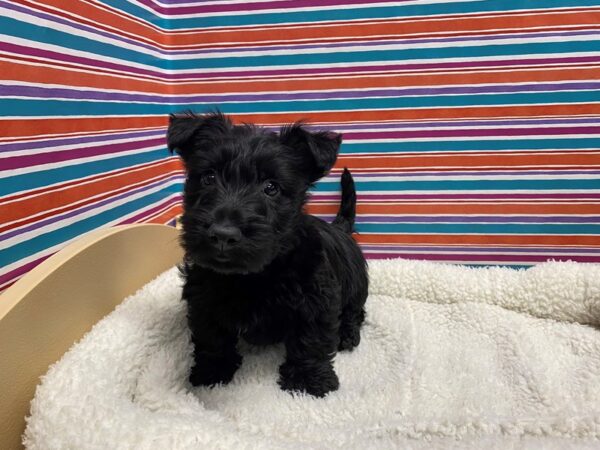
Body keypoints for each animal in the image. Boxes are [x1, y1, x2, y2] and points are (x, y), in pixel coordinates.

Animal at [166, 112, 368, 398]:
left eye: (271, 187)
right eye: (208, 177)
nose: (223, 234)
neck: (251, 275)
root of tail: (340, 228)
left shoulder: (317, 299)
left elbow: (311, 340)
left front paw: (308, 381)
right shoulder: (203, 298)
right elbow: (211, 337)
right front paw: (211, 373)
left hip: (356, 286)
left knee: (355, 311)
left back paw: (347, 335)